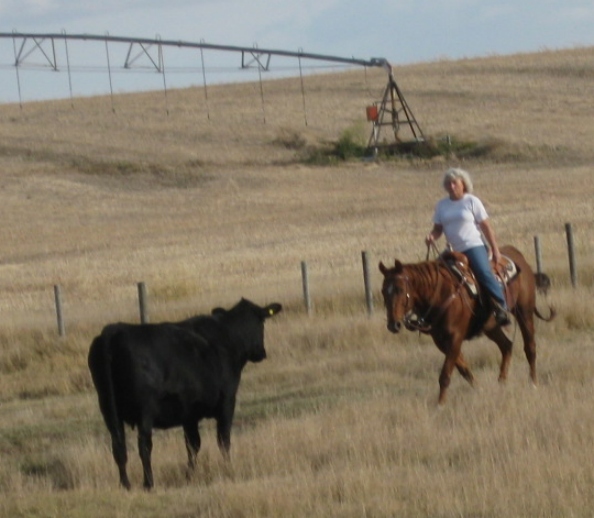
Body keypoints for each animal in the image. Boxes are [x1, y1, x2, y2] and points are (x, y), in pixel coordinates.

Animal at [88, 300, 282, 492]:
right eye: (262, 323)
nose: (261, 352)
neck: (227, 338)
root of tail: (112, 332)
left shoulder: (189, 414)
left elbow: (193, 444)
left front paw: (189, 475)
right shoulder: (227, 401)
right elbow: (223, 440)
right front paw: (228, 468)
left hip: (107, 408)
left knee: (118, 446)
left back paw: (126, 484)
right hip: (145, 410)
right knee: (144, 445)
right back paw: (148, 483)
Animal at [376, 246, 552, 408]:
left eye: (399, 289)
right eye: (383, 291)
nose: (393, 324)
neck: (440, 293)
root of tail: (517, 255)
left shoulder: (455, 337)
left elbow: (445, 374)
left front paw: (440, 404)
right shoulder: (440, 340)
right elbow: (463, 368)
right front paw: (478, 389)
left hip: (524, 313)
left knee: (530, 347)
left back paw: (533, 383)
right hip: (490, 326)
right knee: (506, 345)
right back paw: (501, 382)